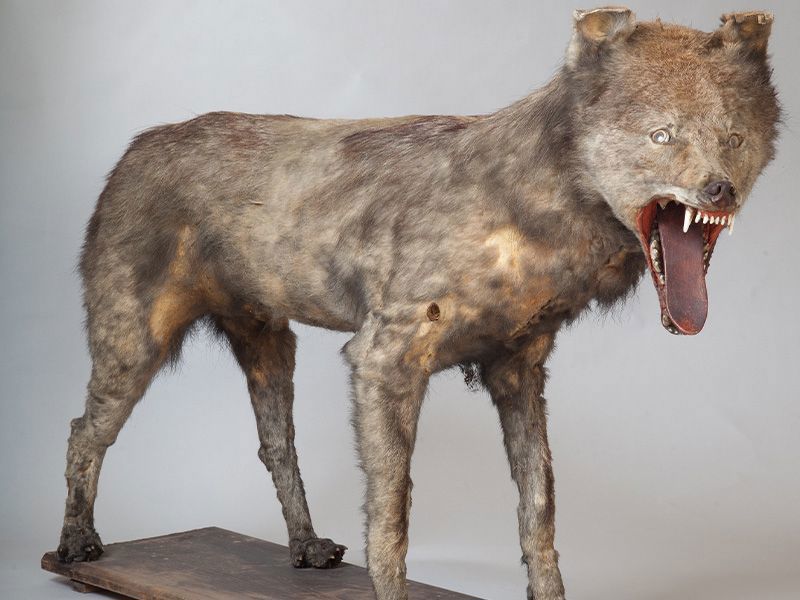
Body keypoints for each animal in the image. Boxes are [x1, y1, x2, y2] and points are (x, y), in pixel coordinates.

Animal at [57, 7, 779, 600]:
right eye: (661, 136)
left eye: (735, 137)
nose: (720, 191)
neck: (526, 202)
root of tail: (137, 146)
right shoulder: (383, 362)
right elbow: (391, 517)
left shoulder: (518, 371)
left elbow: (538, 512)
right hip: (134, 343)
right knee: (84, 431)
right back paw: (74, 546)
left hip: (270, 344)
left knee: (275, 444)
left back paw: (306, 549)